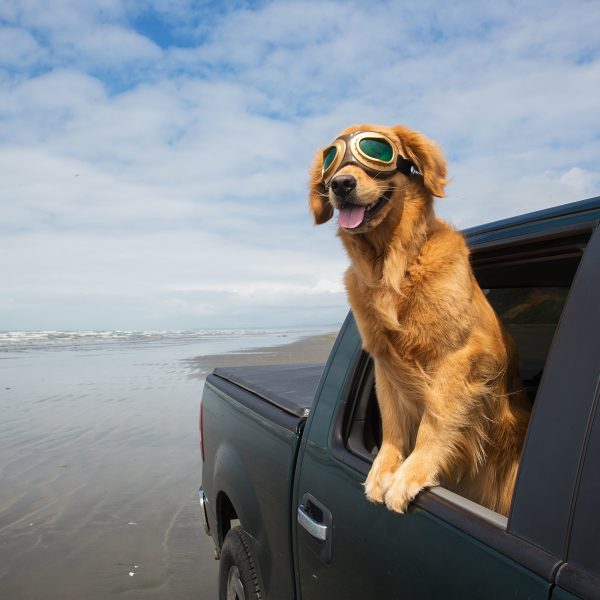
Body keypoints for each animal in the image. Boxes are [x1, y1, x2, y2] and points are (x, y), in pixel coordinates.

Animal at [310, 123, 528, 516]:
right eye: (330, 160)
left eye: (376, 150)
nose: (341, 184)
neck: (391, 266)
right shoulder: (384, 363)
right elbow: (393, 422)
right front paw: (384, 467)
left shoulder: (457, 357)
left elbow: (435, 420)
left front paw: (412, 473)